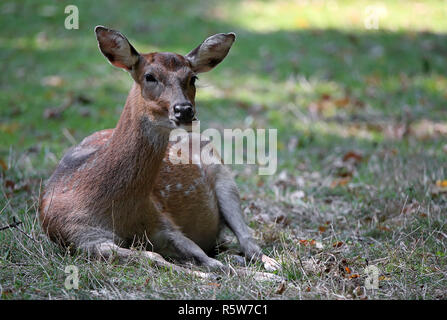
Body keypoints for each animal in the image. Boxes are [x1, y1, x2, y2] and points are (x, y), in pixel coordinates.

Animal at [39, 26, 280, 276]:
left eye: (192, 77)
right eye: (149, 76)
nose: (184, 110)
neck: (118, 211)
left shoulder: (162, 221)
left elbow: (209, 260)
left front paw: (262, 277)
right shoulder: (81, 236)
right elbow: (154, 257)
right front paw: (203, 273)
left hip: (224, 177)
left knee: (248, 241)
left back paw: (271, 264)